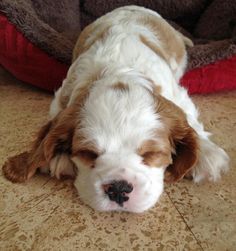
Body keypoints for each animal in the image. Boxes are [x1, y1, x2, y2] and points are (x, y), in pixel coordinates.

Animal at [2, 5, 230, 212]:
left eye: (152, 153)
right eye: (88, 153)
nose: (119, 188)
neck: (120, 71)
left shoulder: (178, 94)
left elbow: (189, 118)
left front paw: (207, 154)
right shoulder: (62, 95)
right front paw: (59, 156)